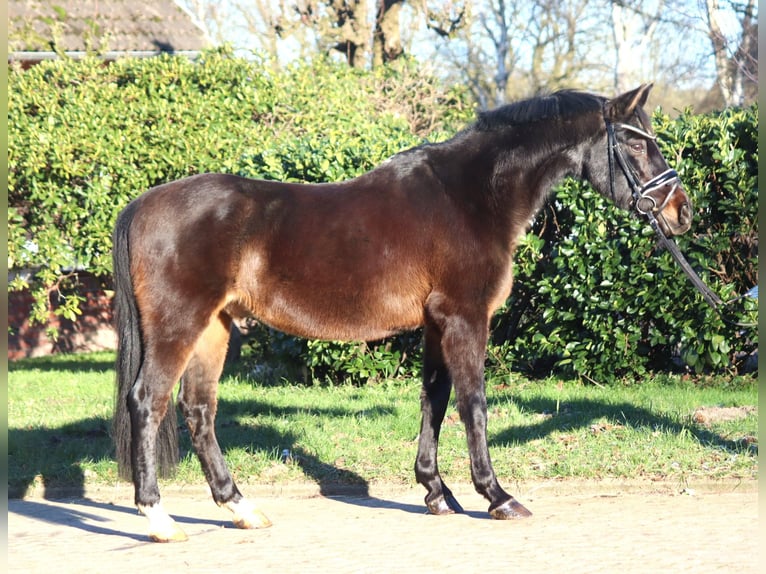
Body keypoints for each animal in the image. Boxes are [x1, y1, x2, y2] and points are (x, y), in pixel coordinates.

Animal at [114, 83, 696, 544]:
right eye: (638, 141)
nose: (681, 211)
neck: (470, 197)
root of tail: (142, 205)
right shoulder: (465, 317)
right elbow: (473, 405)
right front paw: (497, 496)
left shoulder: (436, 324)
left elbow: (434, 401)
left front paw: (437, 493)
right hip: (179, 325)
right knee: (147, 402)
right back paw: (159, 519)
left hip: (215, 328)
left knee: (198, 411)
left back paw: (240, 508)